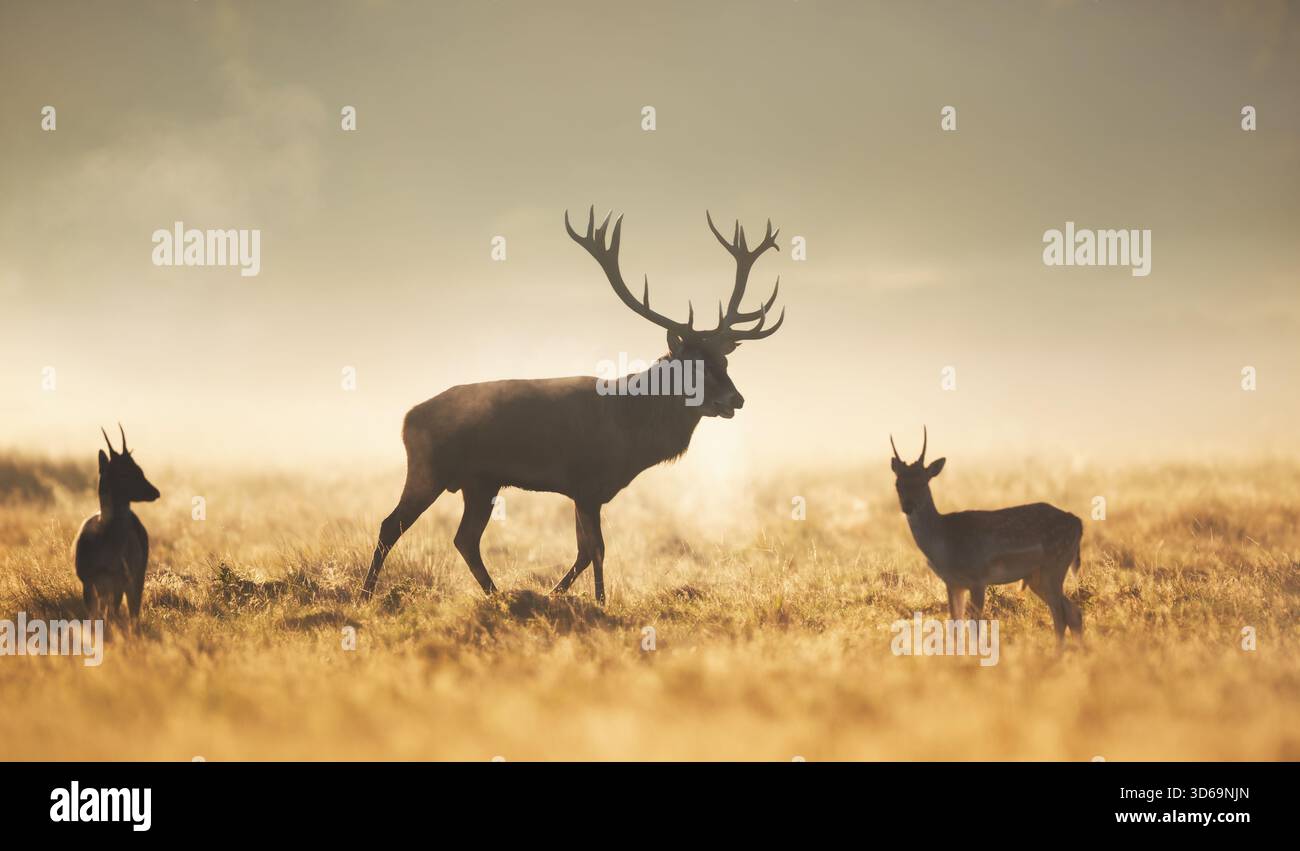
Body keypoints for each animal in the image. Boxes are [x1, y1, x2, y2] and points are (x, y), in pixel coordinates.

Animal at [73, 425, 161, 628]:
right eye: (124, 472)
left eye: (138, 468)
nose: (154, 492)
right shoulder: (87, 581)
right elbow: (94, 615)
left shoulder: (119, 581)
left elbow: (112, 614)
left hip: (137, 576)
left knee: (133, 609)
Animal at [361, 206, 787, 604]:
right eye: (695, 365)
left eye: (725, 362)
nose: (736, 399)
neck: (632, 433)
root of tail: (407, 419)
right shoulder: (586, 483)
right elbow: (596, 549)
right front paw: (599, 602)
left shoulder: (584, 491)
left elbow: (584, 551)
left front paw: (558, 594)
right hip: (430, 468)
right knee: (391, 525)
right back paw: (366, 595)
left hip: (480, 481)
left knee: (464, 538)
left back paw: (497, 595)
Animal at [890, 428, 1084, 644]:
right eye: (898, 483)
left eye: (923, 482)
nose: (908, 506)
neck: (944, 543)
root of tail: (1078, 523)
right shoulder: (952, 582)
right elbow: (955, 624)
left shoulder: (978, 577)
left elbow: (975, 627)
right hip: (1038, 577)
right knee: (1073, 612)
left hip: (1055, 566)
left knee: (1061, 615)